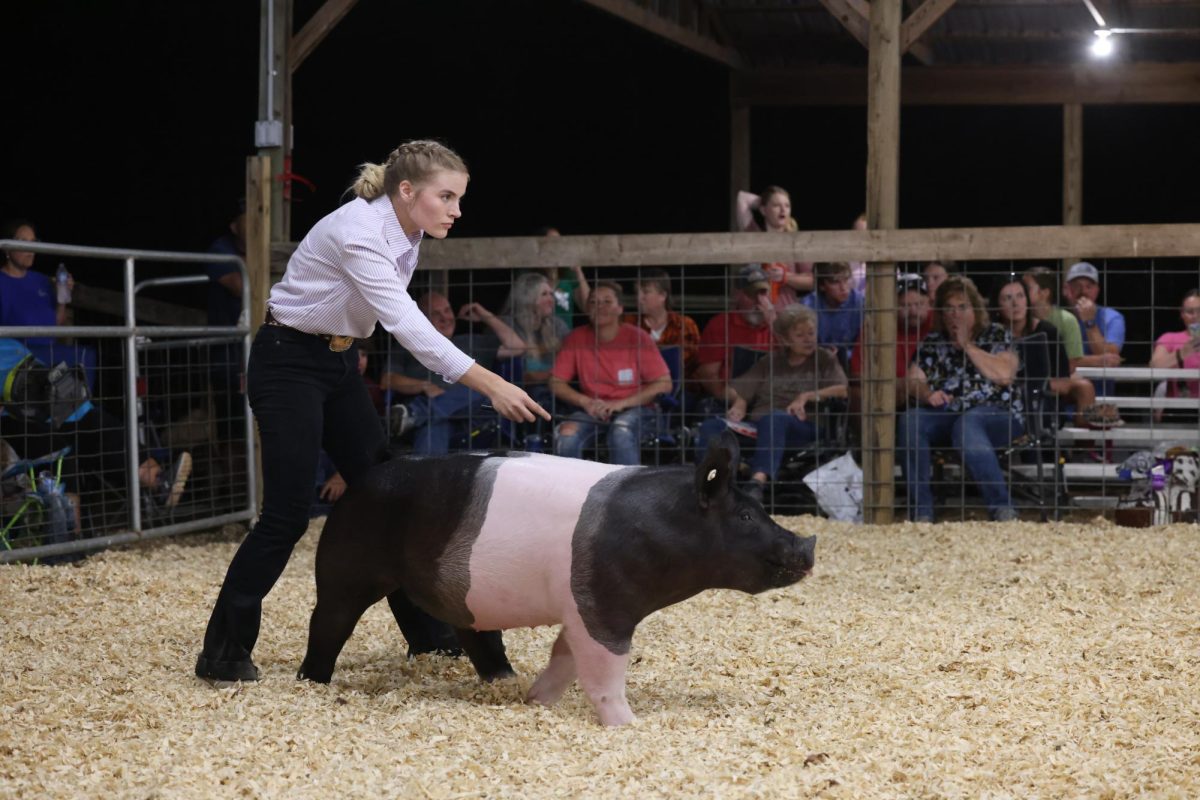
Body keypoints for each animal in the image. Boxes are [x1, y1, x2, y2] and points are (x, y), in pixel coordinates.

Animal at [298, 434, 816, 729]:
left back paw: (505, 681)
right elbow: (603, 670)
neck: (661, 530)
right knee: (328, 622)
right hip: (346, 566)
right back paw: (312, 682)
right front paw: (630, 725)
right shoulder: (601, 605)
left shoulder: (578, 608)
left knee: (473, 632)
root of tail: (366, 475)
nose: (808, 546)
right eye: (745, 515)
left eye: (760, 508)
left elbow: (564, 657)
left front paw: (536, 701)